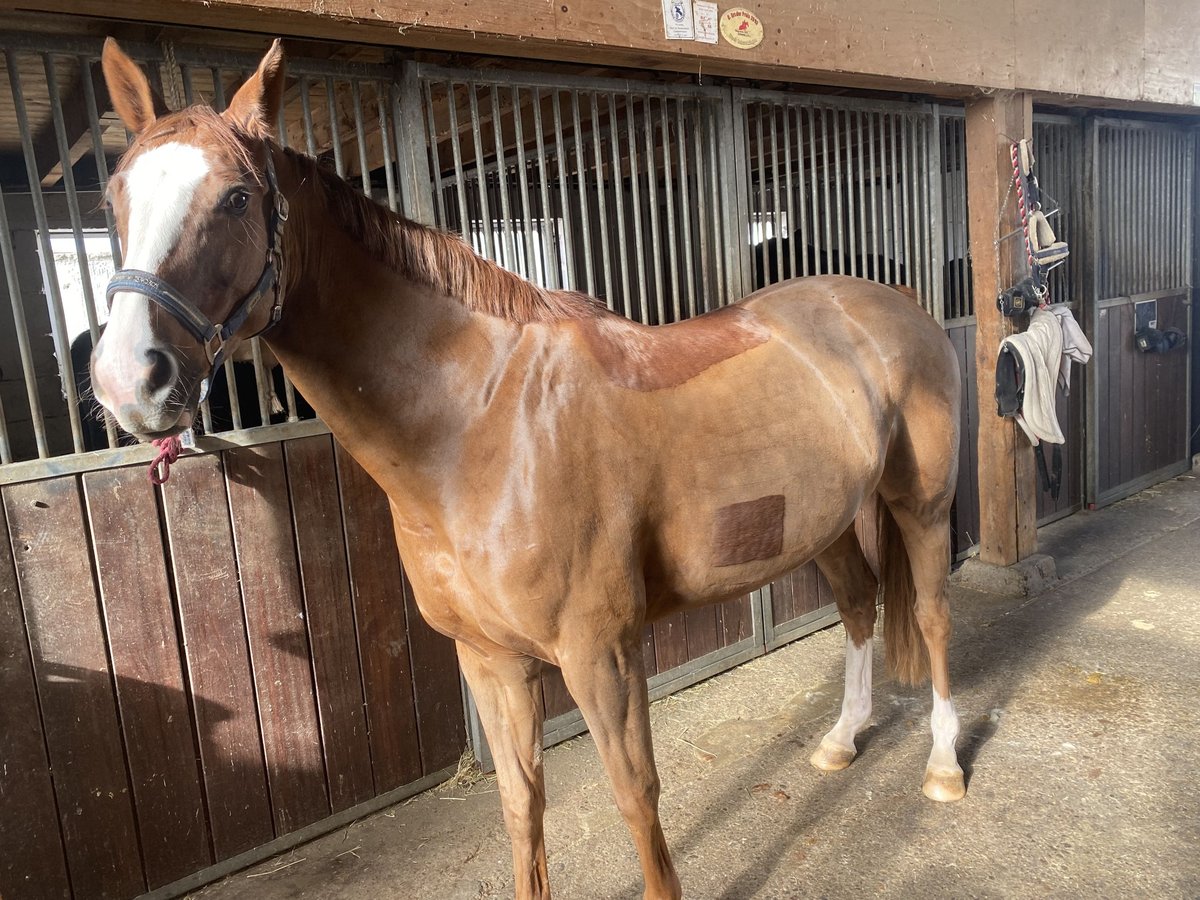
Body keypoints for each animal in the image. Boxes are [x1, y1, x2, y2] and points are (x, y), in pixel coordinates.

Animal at [88, 42, 960, 900]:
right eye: (114, 196)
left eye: (237, 197)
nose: (129, 381)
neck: (479, 425)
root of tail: (891, 301)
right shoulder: (490, 661)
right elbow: (521, 805)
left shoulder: (601, 655)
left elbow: (636, 796)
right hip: (824, 519)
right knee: (859, 604)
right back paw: (841, 741)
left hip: (919, 505)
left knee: (929, 614)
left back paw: (946, 765)